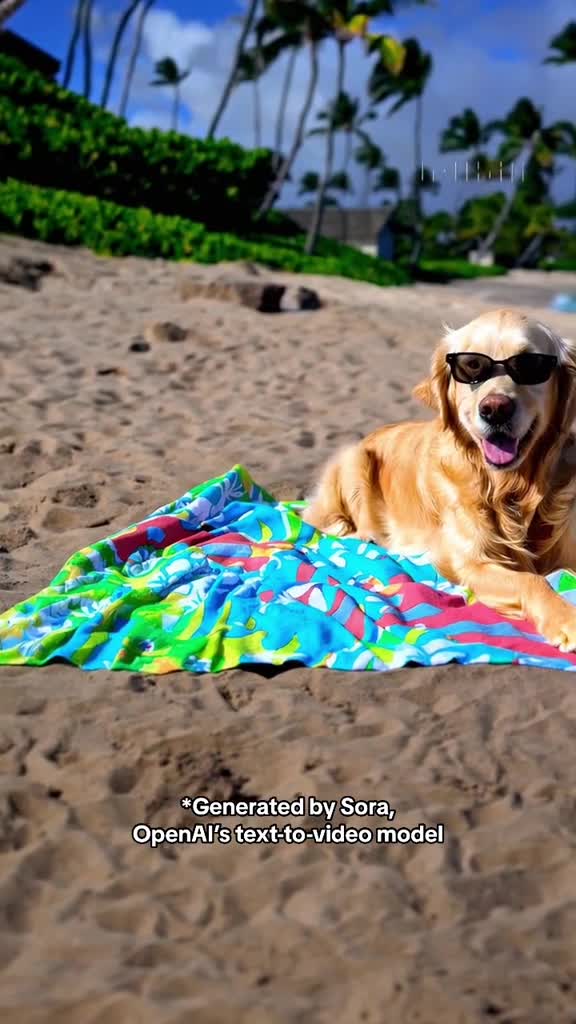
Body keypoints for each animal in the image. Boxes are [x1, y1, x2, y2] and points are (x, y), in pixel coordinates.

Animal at [303, 307, 576, 651]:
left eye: (530, 365)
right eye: (472, 366)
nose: (495, 409)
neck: (508, 489)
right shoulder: (469, 562)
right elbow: (531, 580)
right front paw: (565, 618)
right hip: (356, 457)